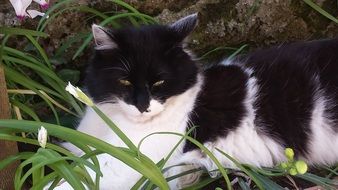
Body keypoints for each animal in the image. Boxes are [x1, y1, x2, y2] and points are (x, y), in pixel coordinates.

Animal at [56, 14, 338, 189]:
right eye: (125, 82)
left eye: (159, 83)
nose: (143, 105)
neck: (115, 119)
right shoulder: (81, 143)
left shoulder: (130, 162)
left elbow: (71, 181)